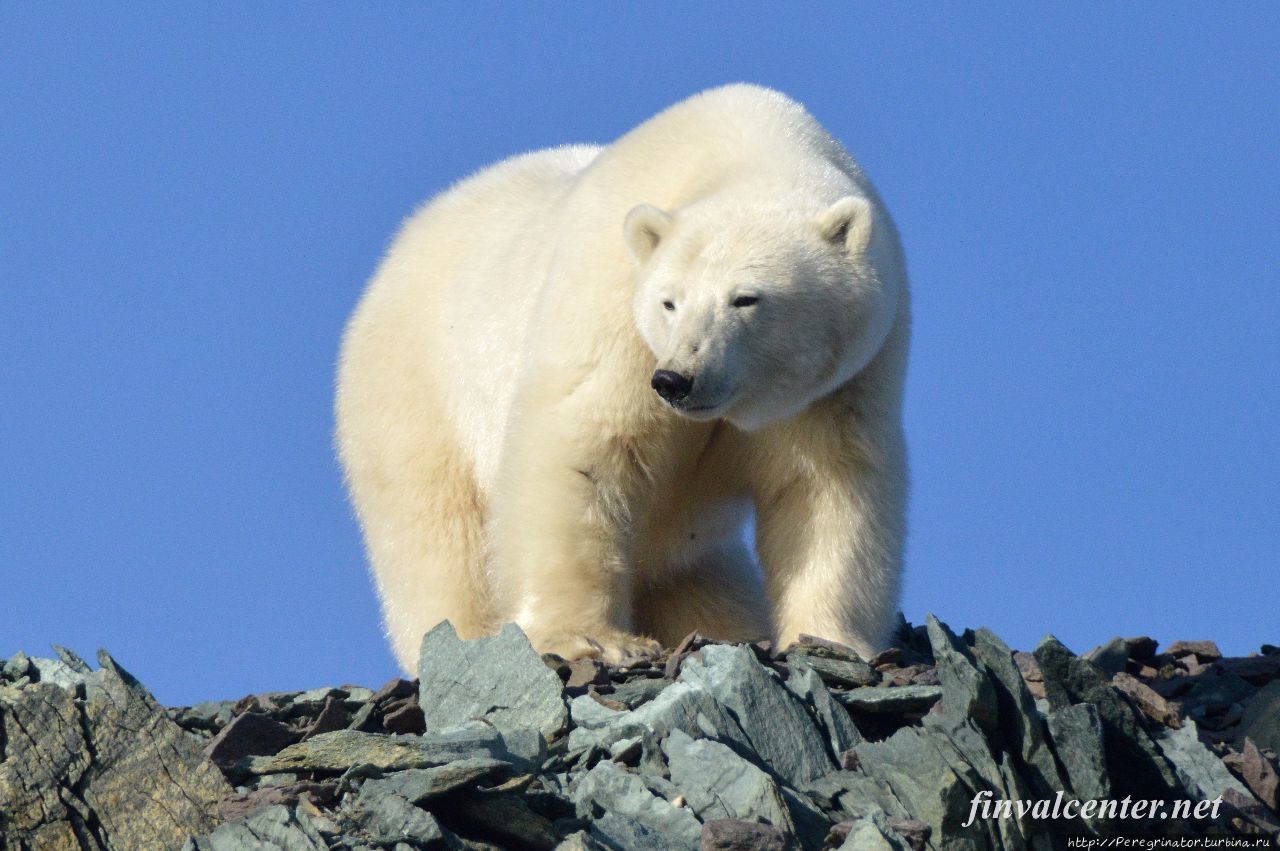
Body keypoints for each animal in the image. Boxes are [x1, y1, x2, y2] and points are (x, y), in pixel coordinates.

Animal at [332, 84, 911, 670]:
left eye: (746, 298)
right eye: (669, 301)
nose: (677, 379)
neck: (746, 144)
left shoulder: (841, 381)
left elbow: (825, 487)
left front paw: (830, 639)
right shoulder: (618, 311)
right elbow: (587, 446)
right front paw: (591, 639)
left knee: (695, 572)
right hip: (414, 389)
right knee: (438, 541)